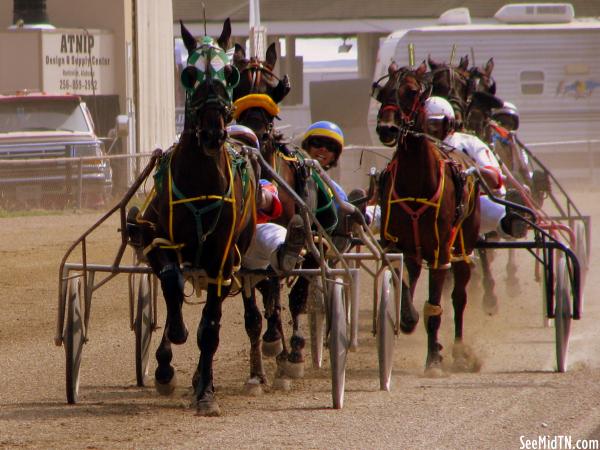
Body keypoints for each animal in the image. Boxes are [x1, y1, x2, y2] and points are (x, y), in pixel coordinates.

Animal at [138, 20, 260, 414]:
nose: (211, 133)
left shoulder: (221, 260)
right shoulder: (154, 239)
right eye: (188, 73)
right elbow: (170, 283)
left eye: (230, 72)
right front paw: (169, 352)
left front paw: (206, 391)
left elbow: (210, 329)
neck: (202, 180)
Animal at [376, 60, 482, 372]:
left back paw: (458, 350)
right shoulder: (394, 243)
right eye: (382, 92)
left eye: (411, 92)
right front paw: (407, 317)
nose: (386, 128)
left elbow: (435, 308)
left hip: (463, 243)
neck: (415, 183)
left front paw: (433, 358)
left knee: (459, 297)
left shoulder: (440, 251)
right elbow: (403, 288)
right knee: (413, 273)